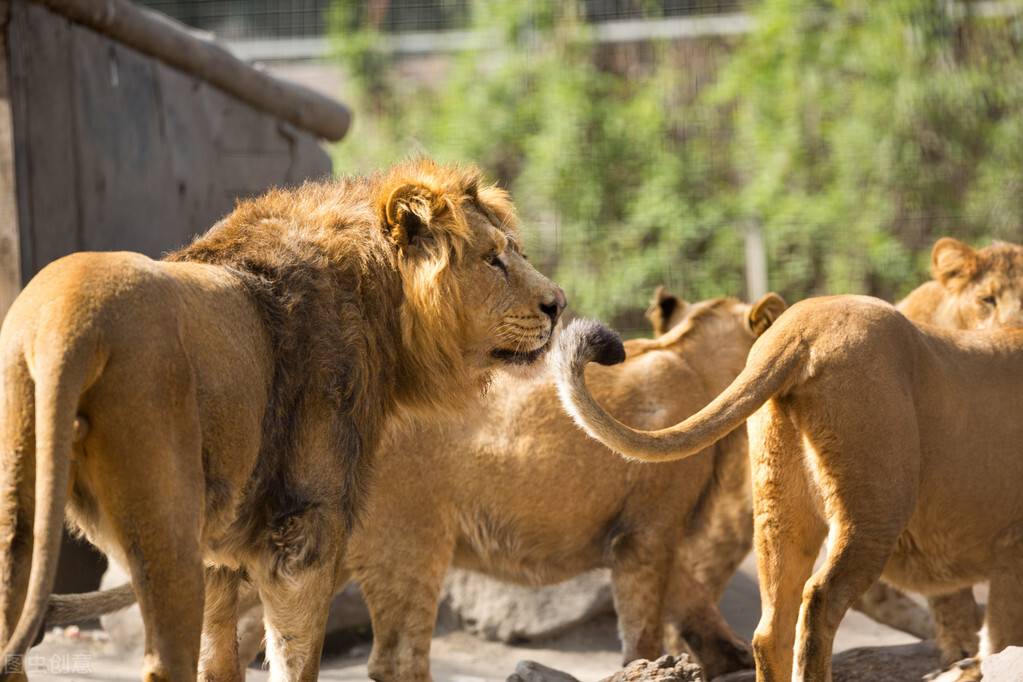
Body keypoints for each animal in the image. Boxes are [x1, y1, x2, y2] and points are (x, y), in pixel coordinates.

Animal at [0, 158, 568, 682]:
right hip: (167, 521)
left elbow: (219, 661)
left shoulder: (222, 556)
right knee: (162, 660)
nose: (559, 304)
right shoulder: (303, 529)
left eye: (516, 253)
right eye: (493, 259)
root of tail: (67, 319)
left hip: (21, 516)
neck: (378, 299)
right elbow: (296, 658)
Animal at [556, 298, 1023, 682]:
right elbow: (1000, 641)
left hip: (779, 512)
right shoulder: (1011, 550)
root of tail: (798, 329)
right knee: (819, 601)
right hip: (874, 510)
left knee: (771, 628)